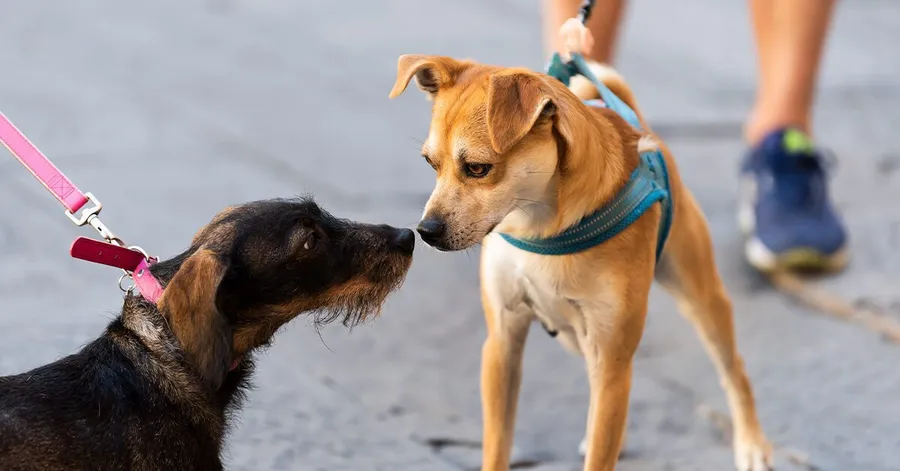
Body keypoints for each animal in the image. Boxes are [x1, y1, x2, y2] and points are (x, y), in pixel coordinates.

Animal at [390, 56, 776, 471]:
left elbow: (600, 445)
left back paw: (752, 443)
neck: (539, 224)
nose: (425, 230)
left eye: (478, 168)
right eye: (431, 164)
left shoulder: (610, 358)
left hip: (698, 298)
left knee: (733, 370)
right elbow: (497, 443)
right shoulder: (502, 345)